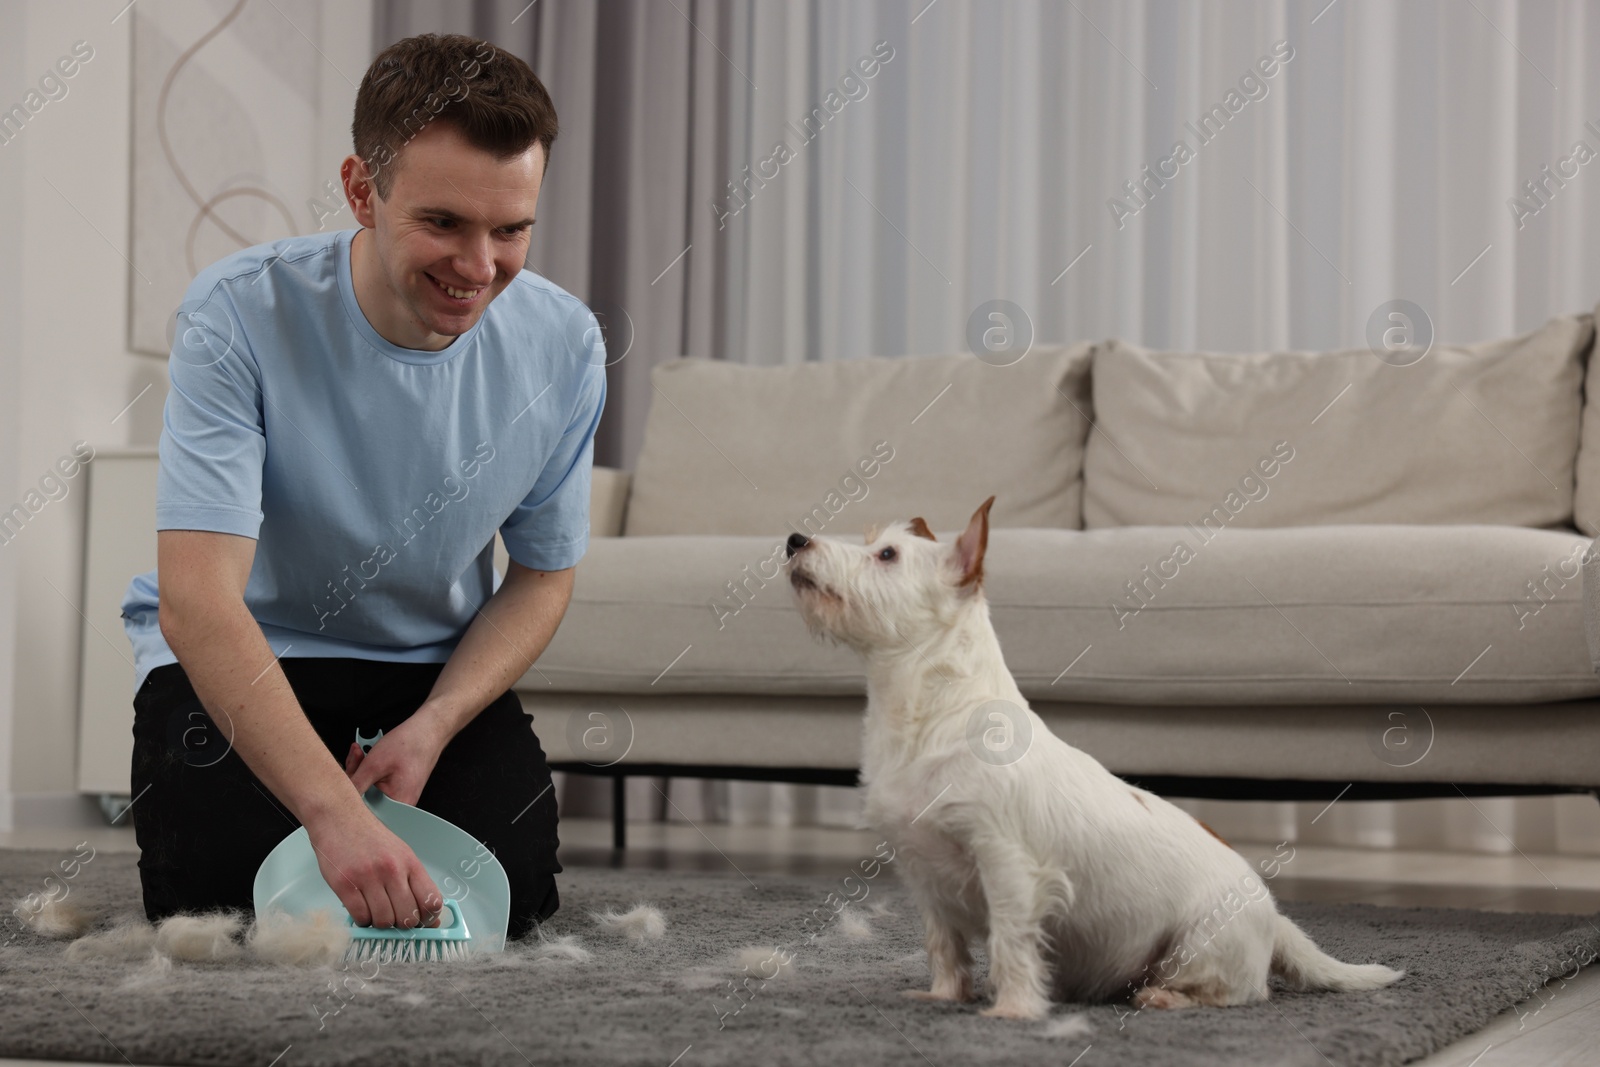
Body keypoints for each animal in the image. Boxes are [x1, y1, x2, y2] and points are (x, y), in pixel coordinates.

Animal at [787, 495, 1401, 1023]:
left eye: (887, 555)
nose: (794, 539)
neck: (924, 713)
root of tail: (1274, 915)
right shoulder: (924, 876)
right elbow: (944, 946)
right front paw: (942, 996)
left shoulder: (1008, 867)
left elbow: (1011, 943)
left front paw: (1013, 1010)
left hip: (1198, 945)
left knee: (1235, 993)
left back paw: (1162, 998)